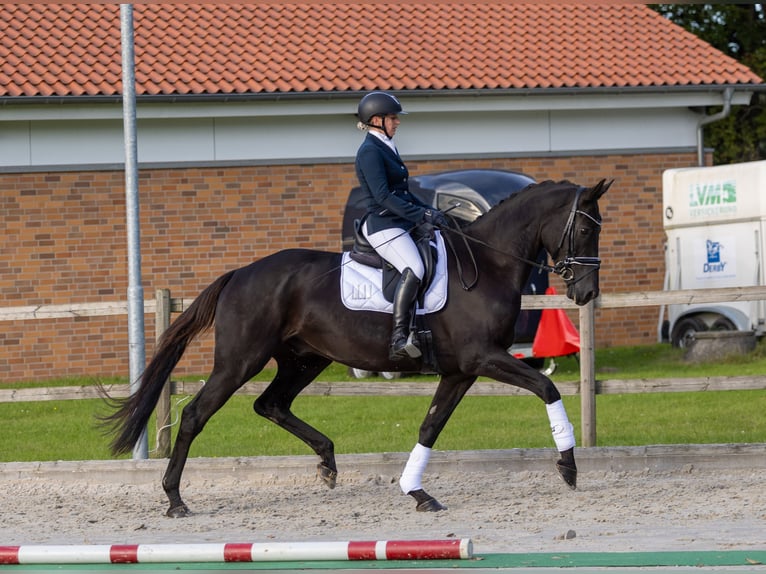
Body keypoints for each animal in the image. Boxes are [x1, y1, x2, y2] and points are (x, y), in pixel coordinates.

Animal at [106, 179, 612, 516]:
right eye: (587, 230)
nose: (586, 293)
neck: (488, 264)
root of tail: (240, 273)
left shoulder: (460, 371)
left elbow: (430, 427)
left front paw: (416, 491)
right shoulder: (483, 358)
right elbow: (547, 388)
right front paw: (568, 466)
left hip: (305, 359)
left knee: (271, 404)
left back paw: (328, 461)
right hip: (240, 361)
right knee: (196, 414)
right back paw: (174, 498)